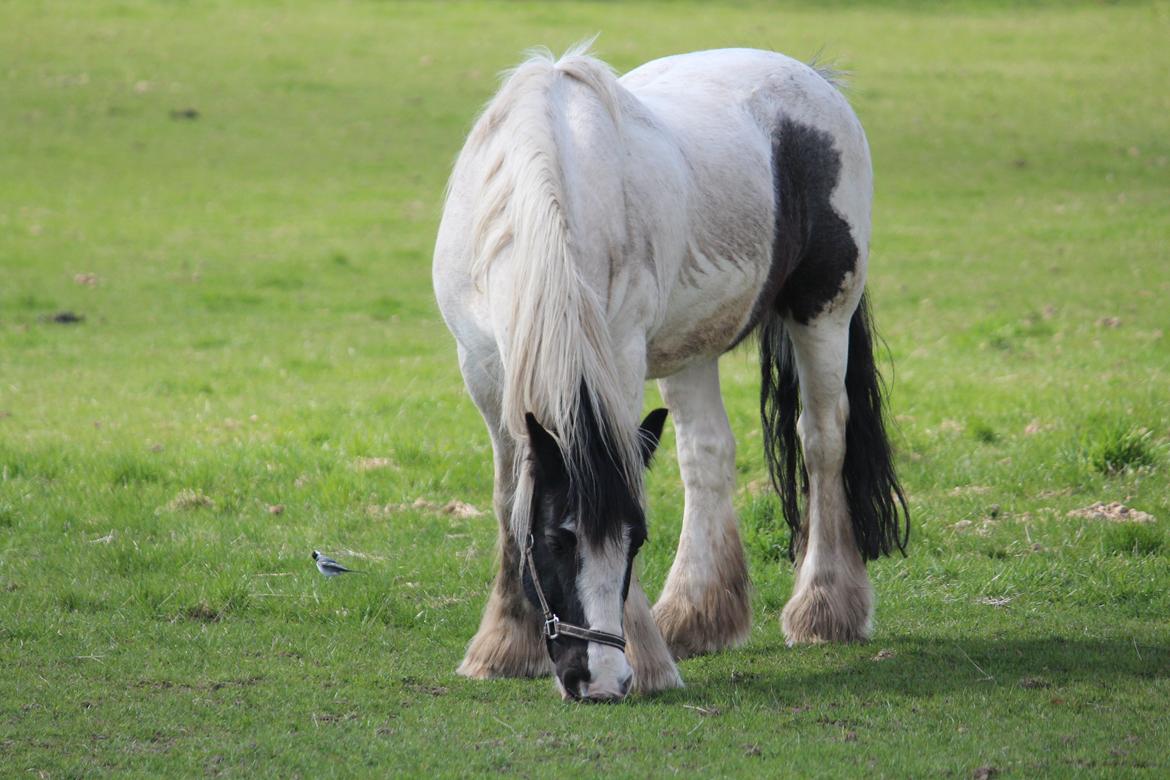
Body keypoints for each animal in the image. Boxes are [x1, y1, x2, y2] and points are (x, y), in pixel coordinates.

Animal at [435, 45, 907, 706]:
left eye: (637, 540)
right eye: (555, 540)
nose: (600, 681)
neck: (546, 190)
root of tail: (814, 78)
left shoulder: (620, 356)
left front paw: (647, 658)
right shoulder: (481, 368)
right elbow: (509, 497)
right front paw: (504, 645)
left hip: (823, 314)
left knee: (822, 442)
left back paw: (824, 608)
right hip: (690, 352)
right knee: (705, 454)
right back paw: (696, 615)